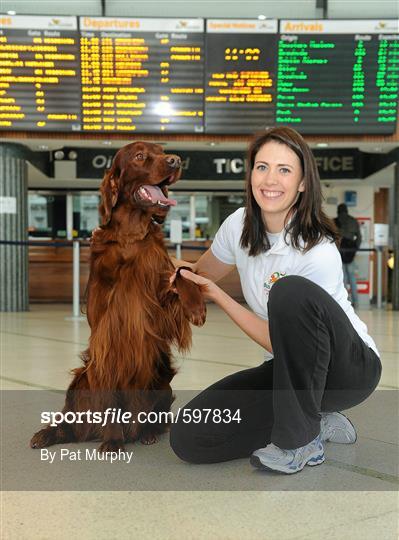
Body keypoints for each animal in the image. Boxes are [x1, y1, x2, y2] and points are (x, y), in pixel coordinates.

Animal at [30, 140, 206, 452]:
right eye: (140, 156)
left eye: (162, 151)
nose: (175, 160)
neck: (130, 238)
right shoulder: (108, 333)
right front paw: (113, 441)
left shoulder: (158, 305)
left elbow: (182, 272)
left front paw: (196, 307)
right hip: (82, 380)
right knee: (71, 422)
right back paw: (49, 433)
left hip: (161, 379)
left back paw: (147, 432)